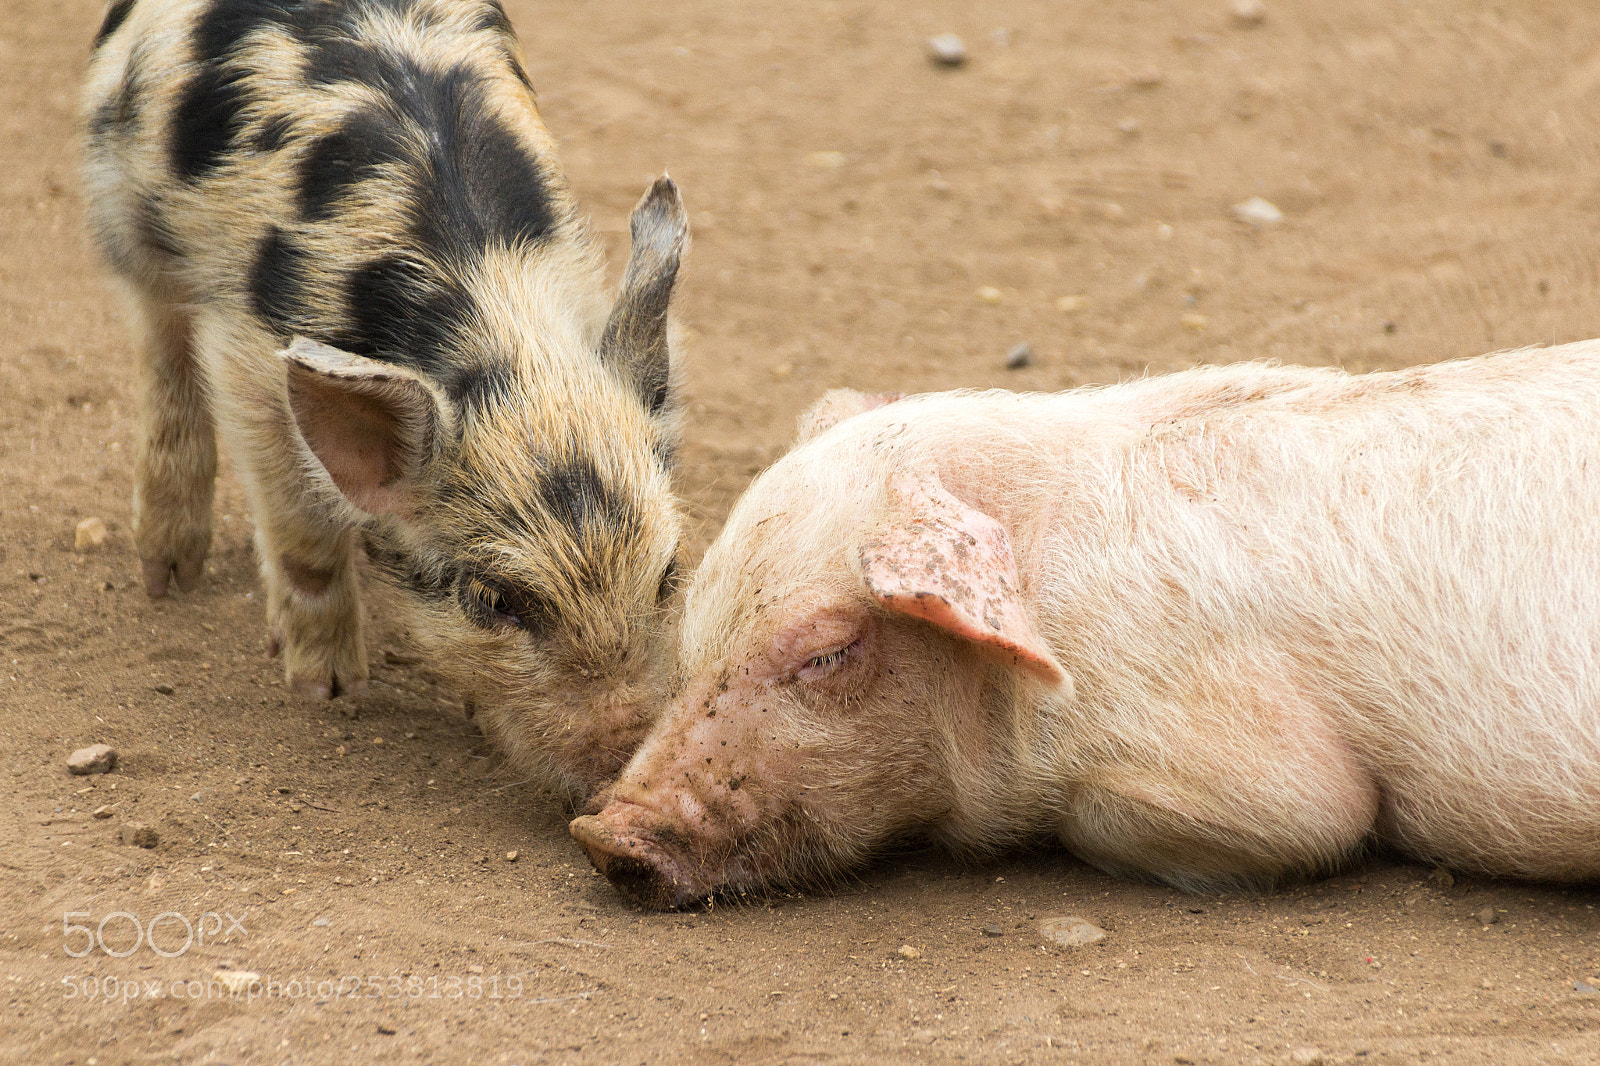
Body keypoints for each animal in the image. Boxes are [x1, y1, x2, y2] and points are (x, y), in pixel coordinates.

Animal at [81, 0, 688, 799]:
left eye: (669, 574)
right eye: (494, 600)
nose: (624, 762)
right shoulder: (247, 358)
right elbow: (302, 532)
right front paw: (330, 690)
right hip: (123, 210)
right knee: (161, 350)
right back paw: (166, 577)